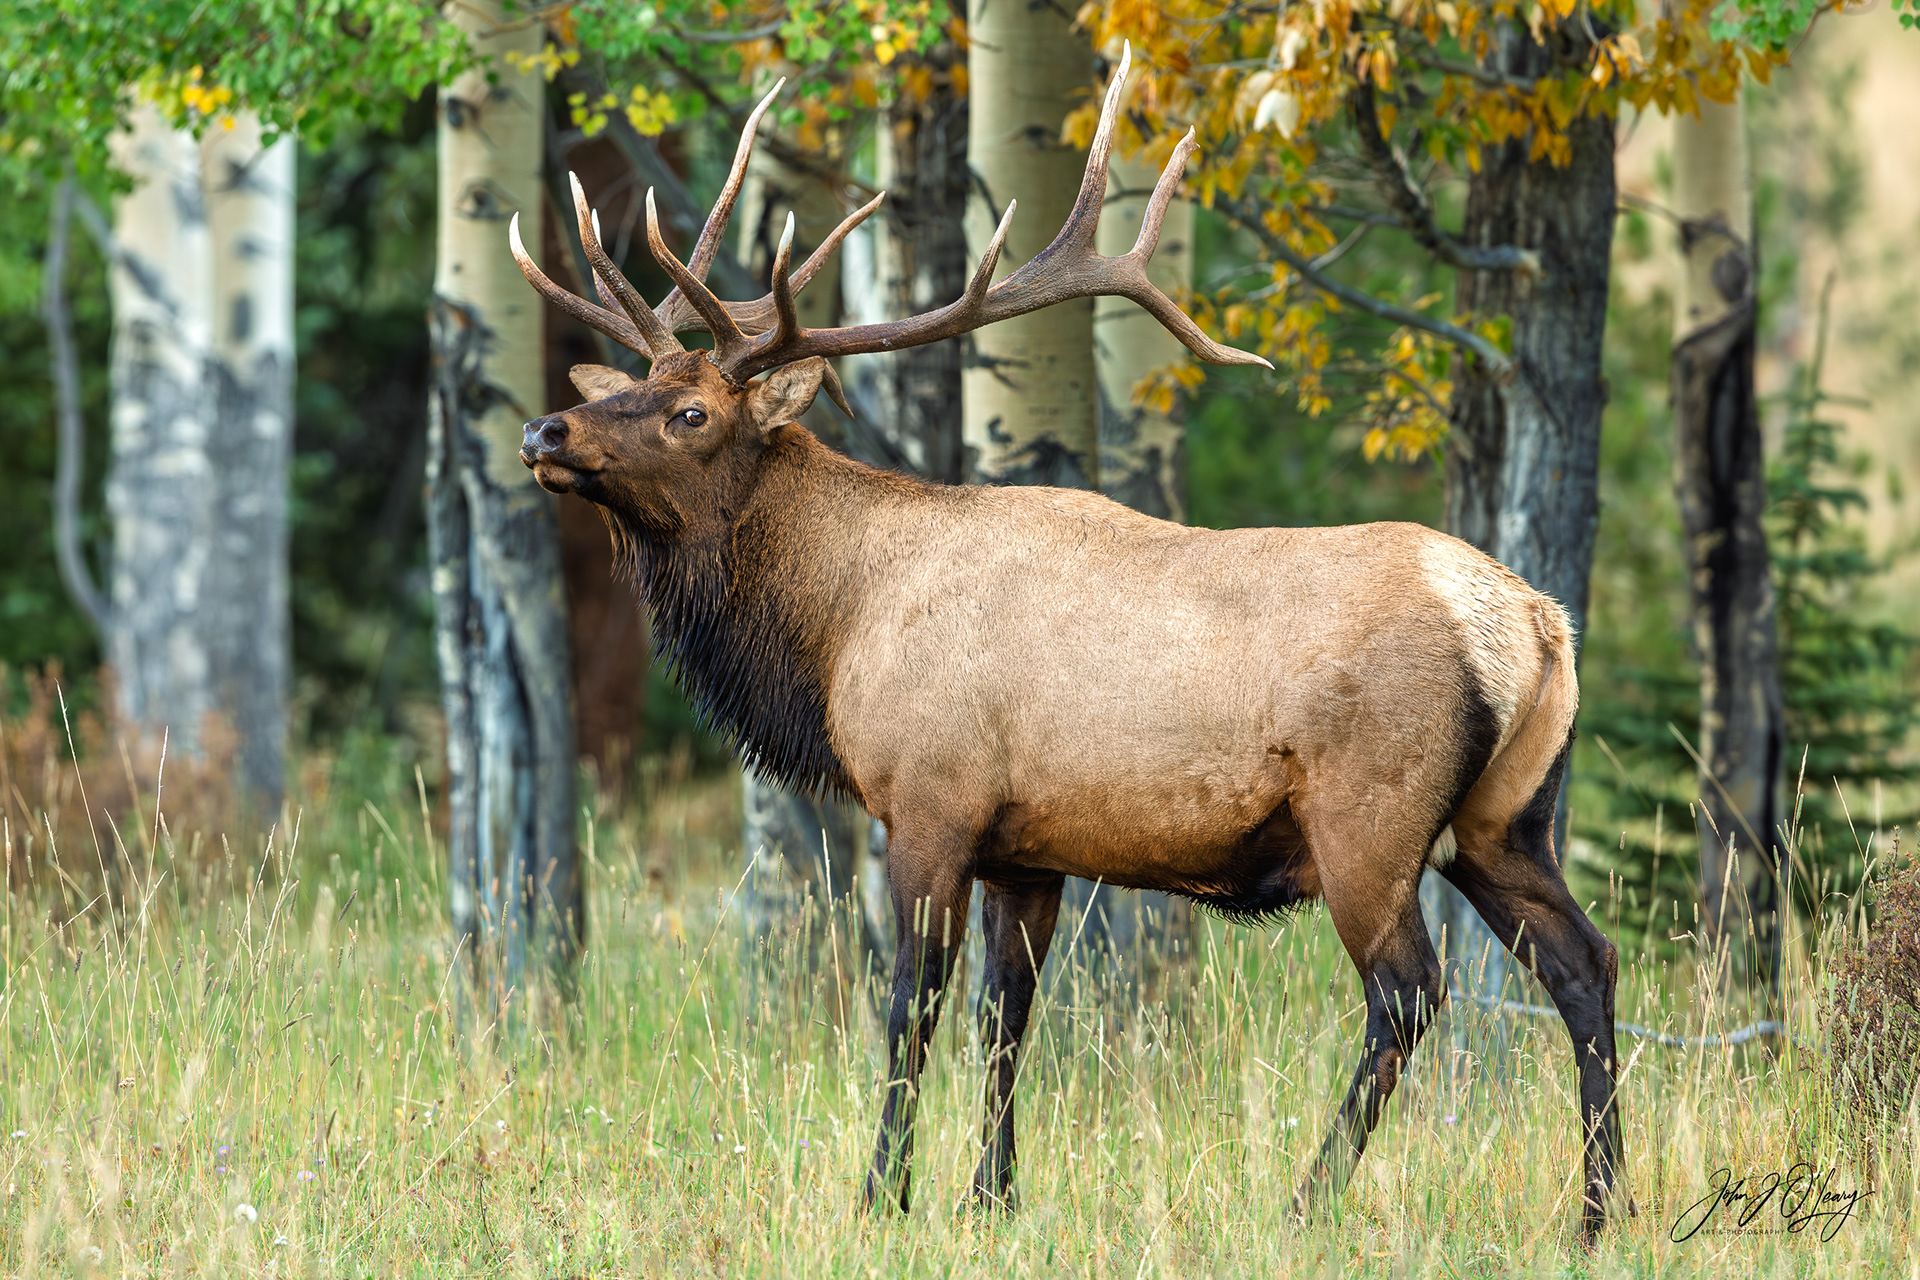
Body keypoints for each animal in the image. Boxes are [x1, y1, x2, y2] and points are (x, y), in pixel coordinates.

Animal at [506, 44, 1628, 1244]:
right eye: (629, 385)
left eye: (691, 414)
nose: (544, 428)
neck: (836, 631)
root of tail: (1535, 624)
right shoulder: (1026, 847)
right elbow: (1008, 1015)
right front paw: (990, 1195)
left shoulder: (931, 801)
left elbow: (910, 1006)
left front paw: (882, 1194)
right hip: (1505, 818)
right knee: (1585, 961)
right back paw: (1600, 1209)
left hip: (1369, 813)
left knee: (1409, 992)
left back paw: (1306, 1200)